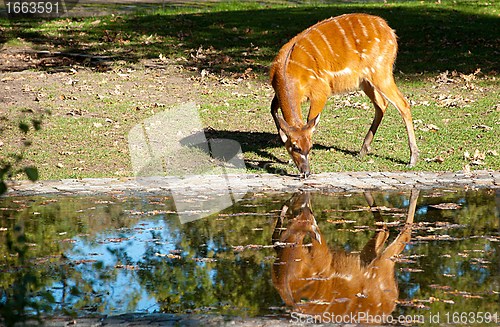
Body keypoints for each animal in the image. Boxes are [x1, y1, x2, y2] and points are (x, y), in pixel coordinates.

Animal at [270, 12, 418, 178]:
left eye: (310, 146)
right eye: (295, 147)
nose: (306, 171)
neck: (290, 73)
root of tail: (390, 32)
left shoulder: (321, 92)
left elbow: (311, 120)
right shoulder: (278, 93)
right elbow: (273, 109)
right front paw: (283, 140)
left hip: (381, 72)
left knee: (403, 103)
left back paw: (412, 159)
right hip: (365, 80)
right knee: (382, 105)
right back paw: (362, 151)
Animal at [270, 191, 418, 324]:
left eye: (306, 211)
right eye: (302, 210)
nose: (301, 194)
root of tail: (391, 304)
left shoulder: (322, 254)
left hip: (380, 264)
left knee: (399, 232)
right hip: (373, 261)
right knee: (386, 229)